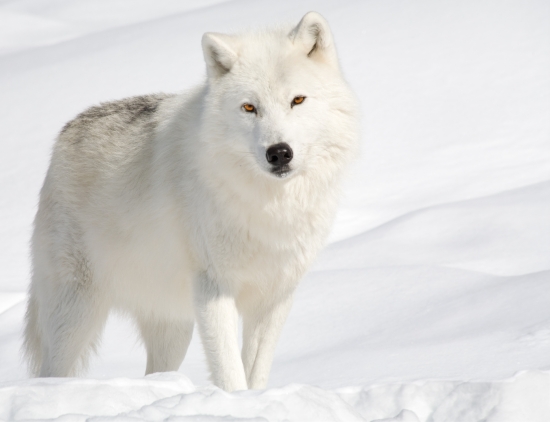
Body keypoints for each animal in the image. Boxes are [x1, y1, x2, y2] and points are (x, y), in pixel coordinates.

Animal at [24, 10, 362, 392]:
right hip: (77, 314)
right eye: (250, 108)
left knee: (155, 372)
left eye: (298, 100)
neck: (269, 207)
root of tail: (66, 131)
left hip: (173, 326)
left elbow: (256, 372)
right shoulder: (213, 288)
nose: (279, 153)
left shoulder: (275, 297)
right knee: (49, 372)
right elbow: (230, 371)